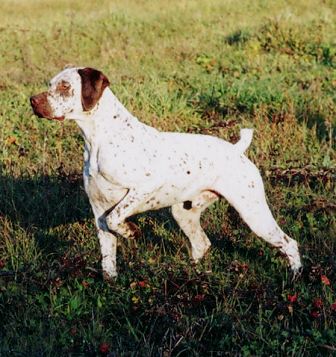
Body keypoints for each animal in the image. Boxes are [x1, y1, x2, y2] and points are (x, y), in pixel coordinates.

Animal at [30, 66, 302, 278]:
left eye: (65, 86)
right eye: (50, 84)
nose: (32, 101)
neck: (99, 139)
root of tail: (236, 150)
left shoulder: (143, 188)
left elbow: (116, 218)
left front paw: (131, 231)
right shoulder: (98, 210)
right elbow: (108, 260)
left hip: (254, 213)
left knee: (289, 243)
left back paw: (295, 277)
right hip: (184, 213)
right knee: (202, 244)